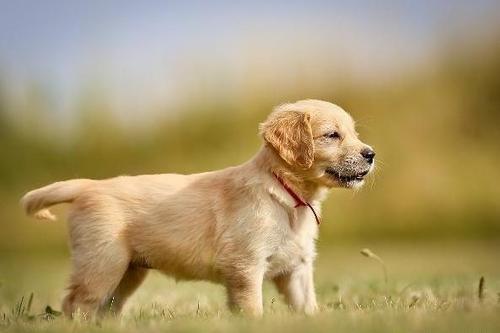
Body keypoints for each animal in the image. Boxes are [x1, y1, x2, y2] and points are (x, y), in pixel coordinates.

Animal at [21, 98, 374, 316]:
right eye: (332, 135)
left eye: (354, 133)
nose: (371, 154)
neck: (286, 194)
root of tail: (88, 186)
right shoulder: (245, 267)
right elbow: (252, 309)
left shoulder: (296, 269)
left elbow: (308, 308)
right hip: (101, 263)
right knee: (76, 304)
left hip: (127, 272)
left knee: (105, 309)